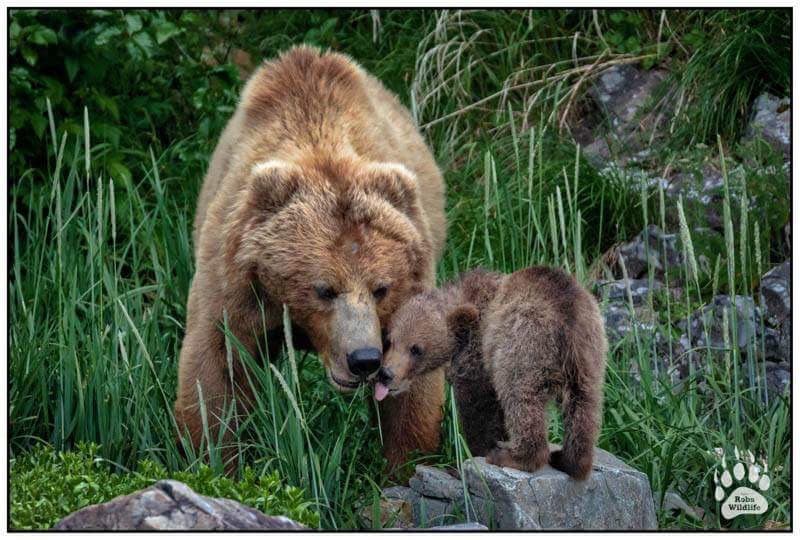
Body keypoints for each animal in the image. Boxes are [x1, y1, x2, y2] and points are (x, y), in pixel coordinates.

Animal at [174, 44, 446, 470]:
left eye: (381, 288)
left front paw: (405, 465)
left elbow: (414, 383)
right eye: (323, 289)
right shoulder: (235, 284)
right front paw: (217, 459)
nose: (364, 359)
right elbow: (216, 370)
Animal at [376, 268, 608, 478]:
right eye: (389, 340)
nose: (385, 374)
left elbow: (478, 408)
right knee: (584, 409)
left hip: (523, 343)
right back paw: (570, 460)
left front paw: (469, 458)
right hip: (590, 357)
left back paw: (513, 456)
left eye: (416, 349)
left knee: (520, 398)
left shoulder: (478, 355)